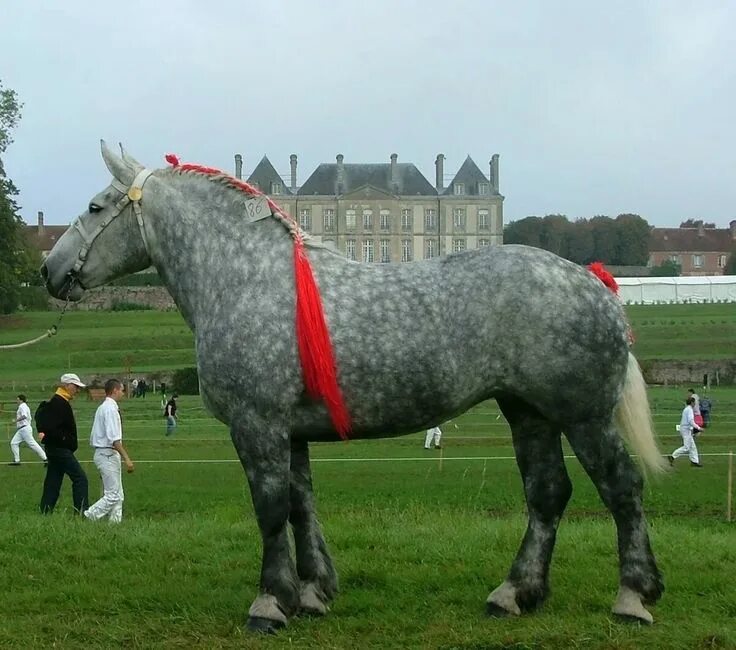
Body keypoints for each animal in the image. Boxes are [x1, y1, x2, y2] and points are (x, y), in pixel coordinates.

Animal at [43, 142, 668, 632]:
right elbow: (301, 507)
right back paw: (514, 594)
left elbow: (270, 509)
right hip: (528, 413)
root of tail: (593, 281)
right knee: (547, 493)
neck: (247, 279)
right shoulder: (291, 433)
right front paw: (311, 593)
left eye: (96, 206)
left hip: (583, 417)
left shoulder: (257, 425)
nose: (50, 269)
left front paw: (270, 603)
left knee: (622, 488)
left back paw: (633, 596)